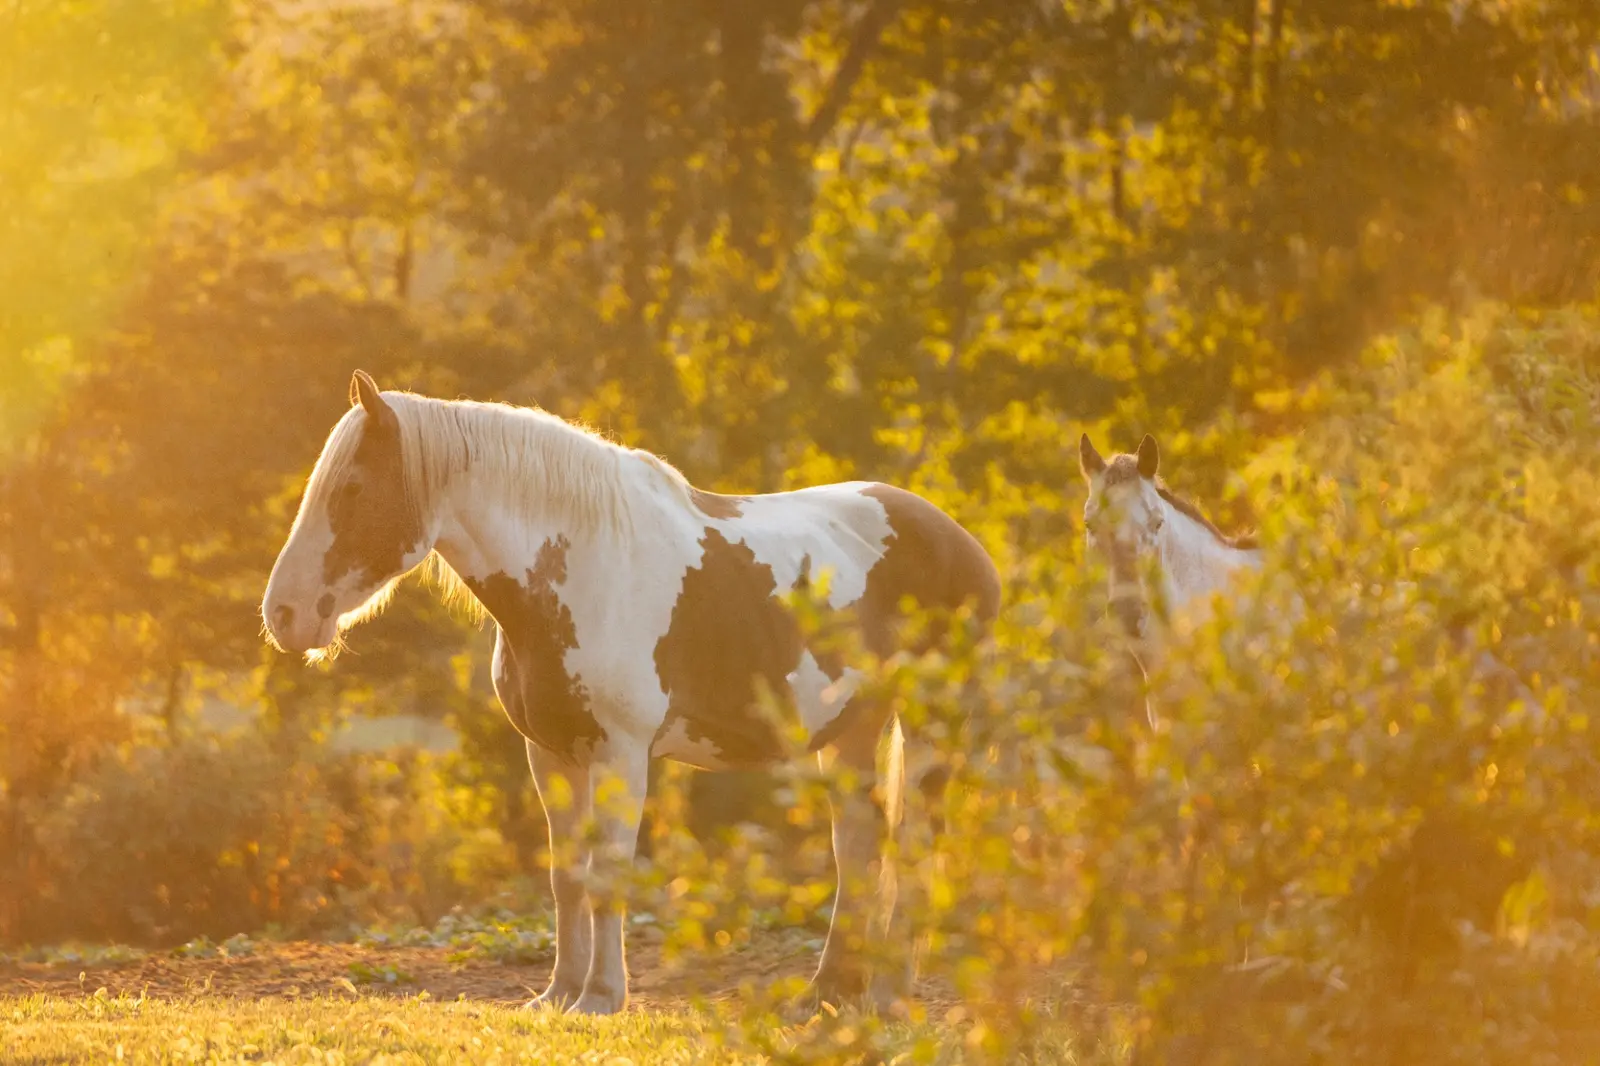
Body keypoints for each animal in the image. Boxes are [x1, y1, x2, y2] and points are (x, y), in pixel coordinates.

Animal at [262, 371, 1002, 1015]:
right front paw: (557, 994)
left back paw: (888, 997)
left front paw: (601, 997)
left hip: (930, 726)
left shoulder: (620, 753)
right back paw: (827, 994)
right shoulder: (550, 754)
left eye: (352, 487)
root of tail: (966, 545)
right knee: (857, 847)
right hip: (850, 731)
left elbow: (608, 874)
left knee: (912, 844)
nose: (284, 616)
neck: (580, 566)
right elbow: (566, 877)